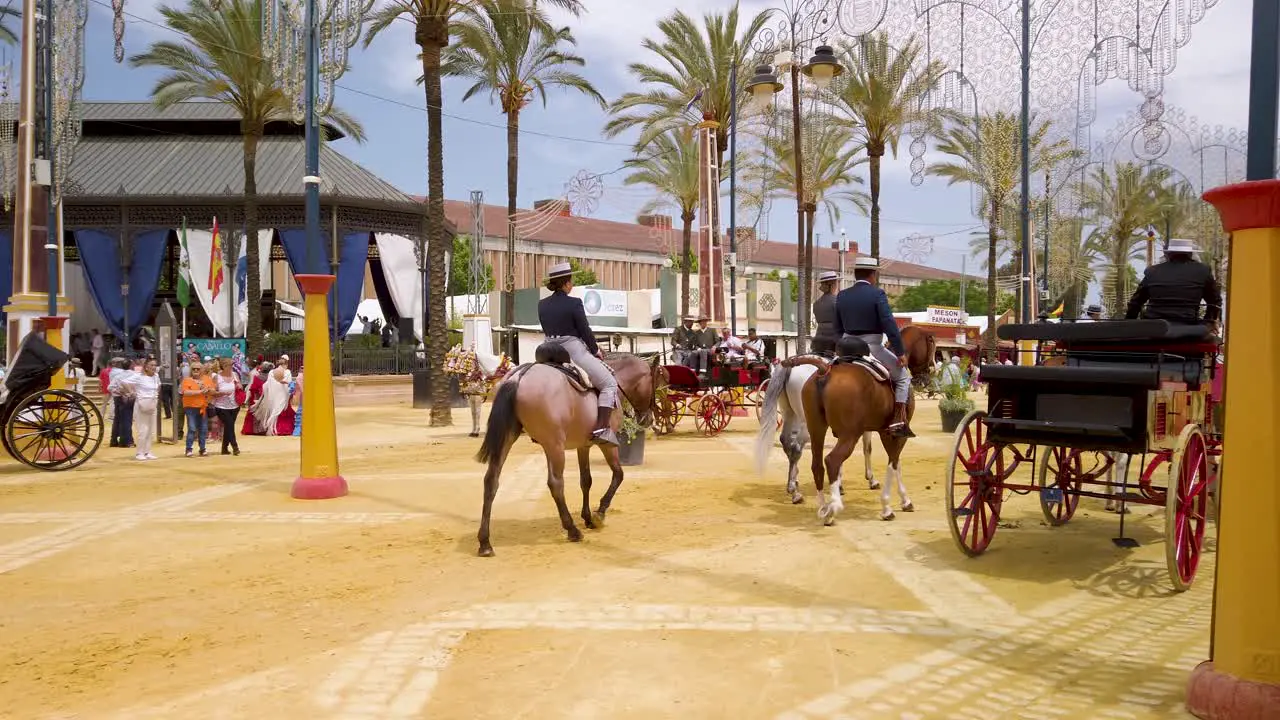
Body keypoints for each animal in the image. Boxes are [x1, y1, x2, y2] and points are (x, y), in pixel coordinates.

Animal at [476, 348, 665, 556]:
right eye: (656, 381)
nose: (648, 419)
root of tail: (520, 375)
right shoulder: (608, 445)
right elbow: (618, 474)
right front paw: (599, 513)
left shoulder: (583, 446)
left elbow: (586, 480)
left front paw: (588, 518)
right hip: (555, 447)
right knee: (556, 484)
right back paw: (572, 530)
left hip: (512, 439)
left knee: (491, 481)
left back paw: (485, 542)